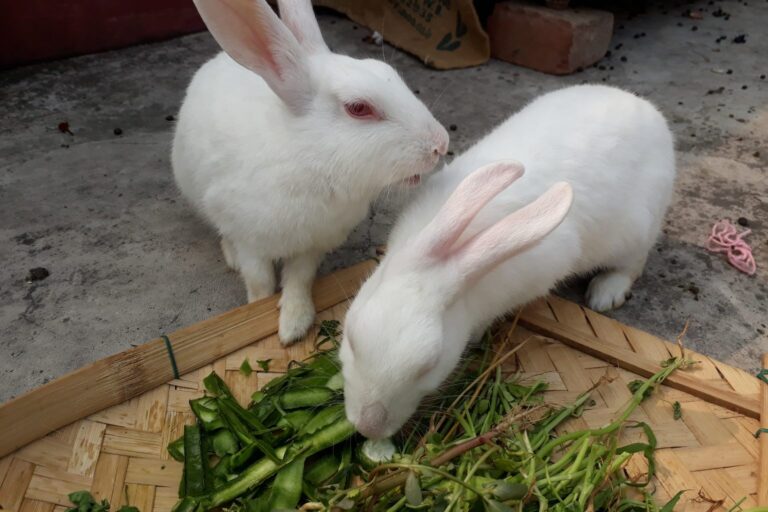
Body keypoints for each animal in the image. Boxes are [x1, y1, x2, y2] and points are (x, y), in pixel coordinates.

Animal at [172, 0, 449, 344]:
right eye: (358, 108)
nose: (441, 143)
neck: (309, 158)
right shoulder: (251, 240)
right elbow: (259, 280)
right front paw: (257, 313)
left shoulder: (313, 245)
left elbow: (299, 280)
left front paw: (294, 324)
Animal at [339, 84, 676, 438]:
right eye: (351, 338)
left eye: (429, 367)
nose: (368, 426)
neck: (451, 258)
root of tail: (648, 111)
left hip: (637, 231)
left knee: (633, 264)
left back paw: (604, 295)